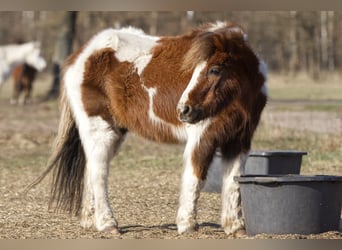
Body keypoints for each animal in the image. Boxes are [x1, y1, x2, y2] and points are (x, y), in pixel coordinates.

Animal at [28, 21, 268, 236]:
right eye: (194, 70)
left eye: (215, 70)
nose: (184, 110)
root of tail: (81, 54)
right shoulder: (202, 138)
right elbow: (195, 177)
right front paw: (187, 225)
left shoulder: (239, 141)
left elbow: (233, 183)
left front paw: (236, 228)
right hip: (99, 129)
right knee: (98, 172)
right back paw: (108, 224)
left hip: (114, 132)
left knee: (90, 168)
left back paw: (89, 220)